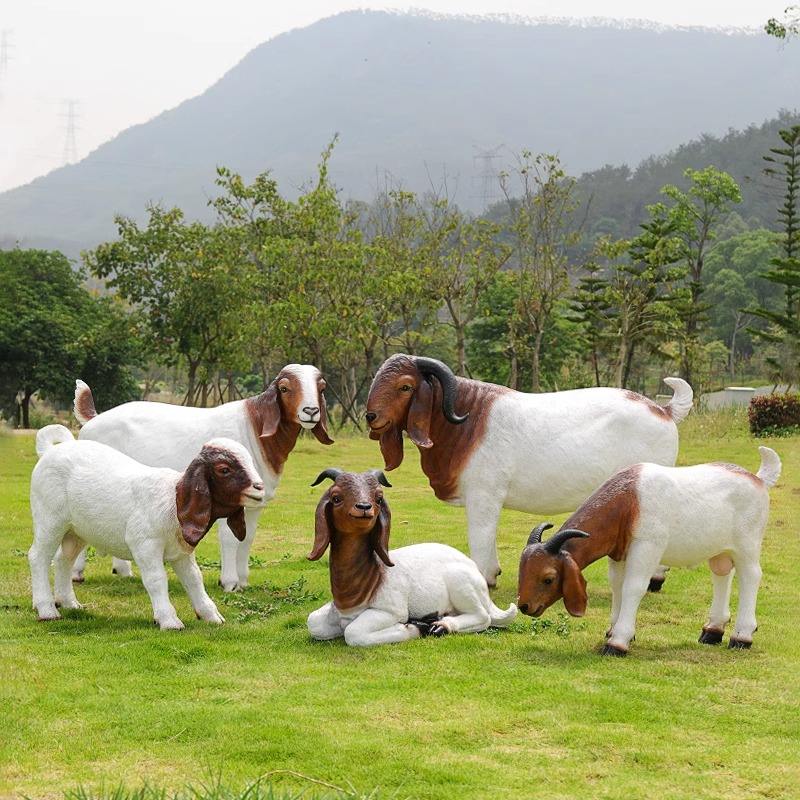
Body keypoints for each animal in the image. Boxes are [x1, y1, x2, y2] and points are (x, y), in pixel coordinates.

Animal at [30, 426, 265, 629]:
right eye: (224, 469)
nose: (259, 487)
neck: (174, 499)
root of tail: (51, 450)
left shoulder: (181, 552)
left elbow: (194, 579)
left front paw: (210, 615)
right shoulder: (144, 543)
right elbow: (156, 579)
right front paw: (169, 620)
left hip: (76, 531)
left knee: (63, 559)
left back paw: (69, 603)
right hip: (49, 520)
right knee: (38, 557)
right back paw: (47, 609)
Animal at [71, 364, 333, 590]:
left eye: (321, 389)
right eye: (285, 388)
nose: (311, 411)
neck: (255, 429)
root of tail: (93, 420)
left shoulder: (254, 505)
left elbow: (247, 538)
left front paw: (243, 581)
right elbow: (230, 538)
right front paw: (230, 583)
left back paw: (123, 571)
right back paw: (76, 574)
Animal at [306, 468, 517, 647]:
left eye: (379, 498)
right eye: (336, 498)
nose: (364, 507)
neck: (372, 579)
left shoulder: (390, 611)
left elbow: (353, 633)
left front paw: (415, 627)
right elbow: (313, 622)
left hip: (462, 585)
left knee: (482, 617)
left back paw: (440, 625)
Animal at [365, 354, 693, 587]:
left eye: (405, 386)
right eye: (377, 382)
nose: (371, 416)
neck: (468, 421)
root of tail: (663, 410)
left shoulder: (484, 497)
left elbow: (480, 539)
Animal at [516, 447, 781, 655]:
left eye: (548, 578)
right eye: (522, 571)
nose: (524, 606)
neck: (630, 501)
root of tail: (758, 479)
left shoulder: (647, 547)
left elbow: (633, 587)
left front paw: (618, 642)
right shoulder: (619, 553)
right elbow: (617, 586)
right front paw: (612, 630)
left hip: (748, 544)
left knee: (750, 576)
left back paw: (742, 636)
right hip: (721, 549)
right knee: (722, 574)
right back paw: (712, 631)